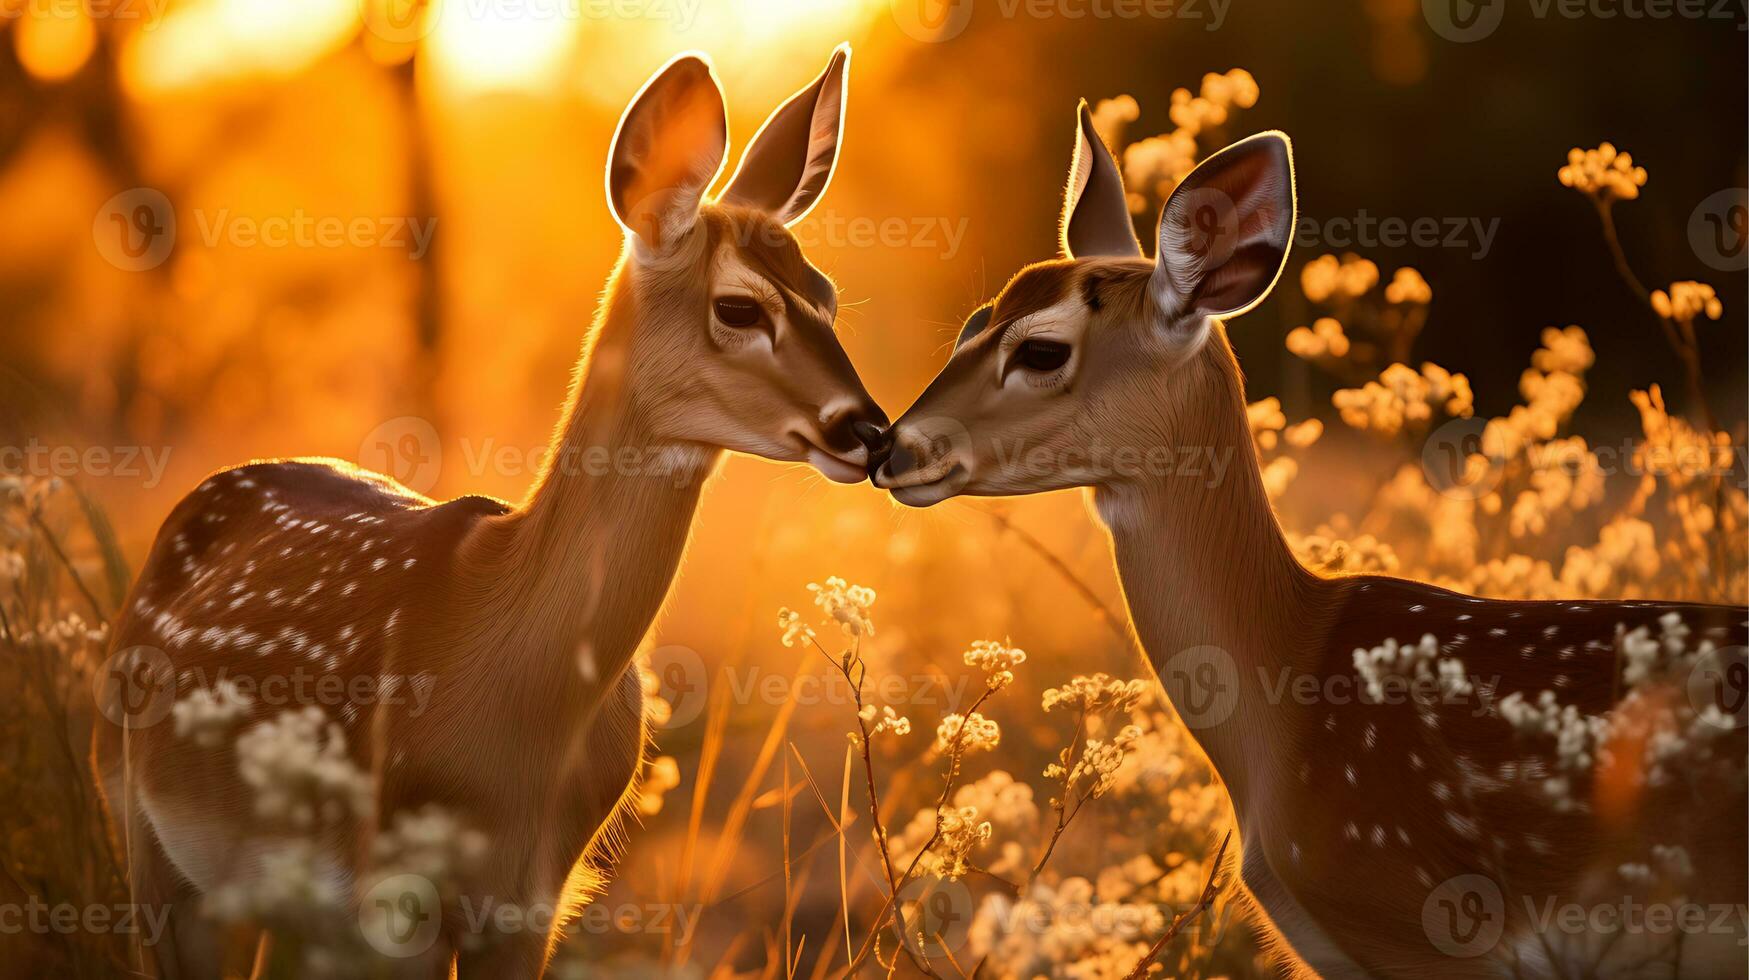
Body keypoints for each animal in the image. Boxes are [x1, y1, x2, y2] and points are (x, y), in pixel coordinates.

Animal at [94, 45, 888, 980]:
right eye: (738, 306)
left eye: (826, 293)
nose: (868, 431)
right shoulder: (390, 889)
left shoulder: (533, 895)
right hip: (144, 831)